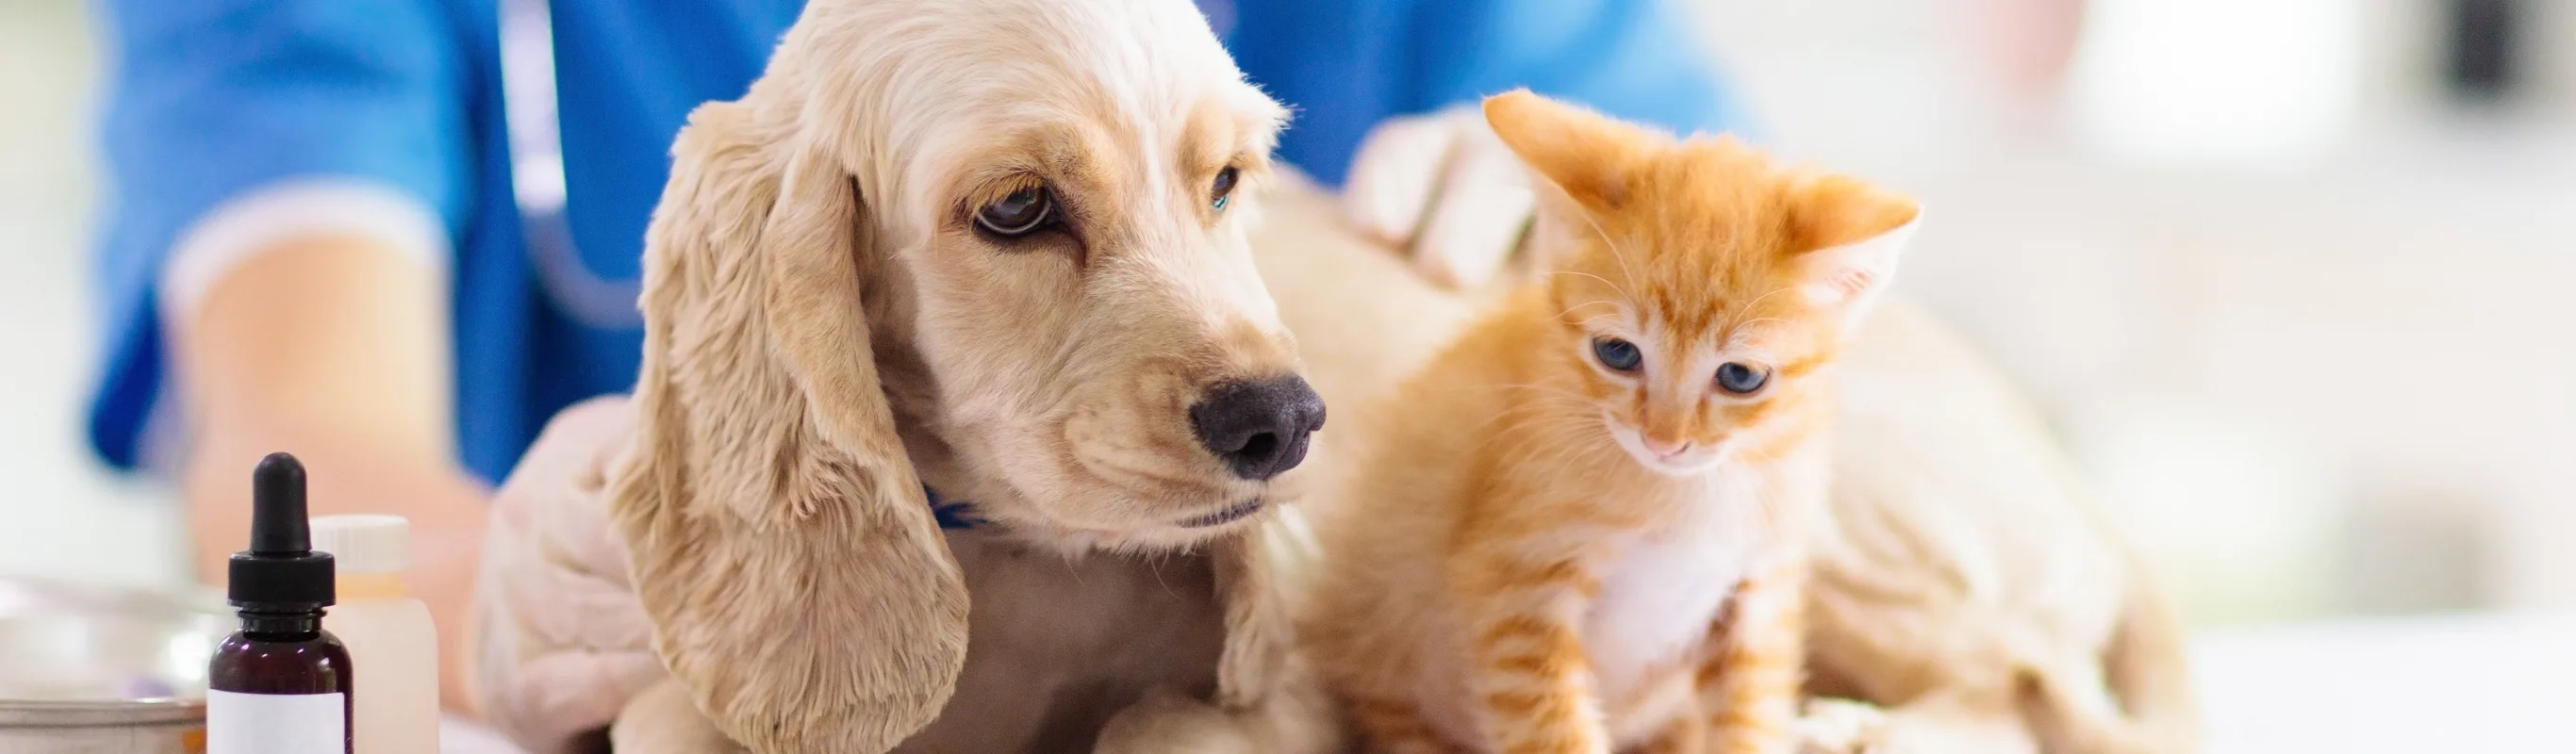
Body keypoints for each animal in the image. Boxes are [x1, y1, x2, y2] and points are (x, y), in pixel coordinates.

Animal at [1308, 89, 1916, 751]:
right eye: (1617, 353)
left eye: (1740, 377)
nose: (1664, 440)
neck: (1688, 495)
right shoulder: (1519, 590)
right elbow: (1553, 732)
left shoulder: (1759, 593)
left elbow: (1749, 718)